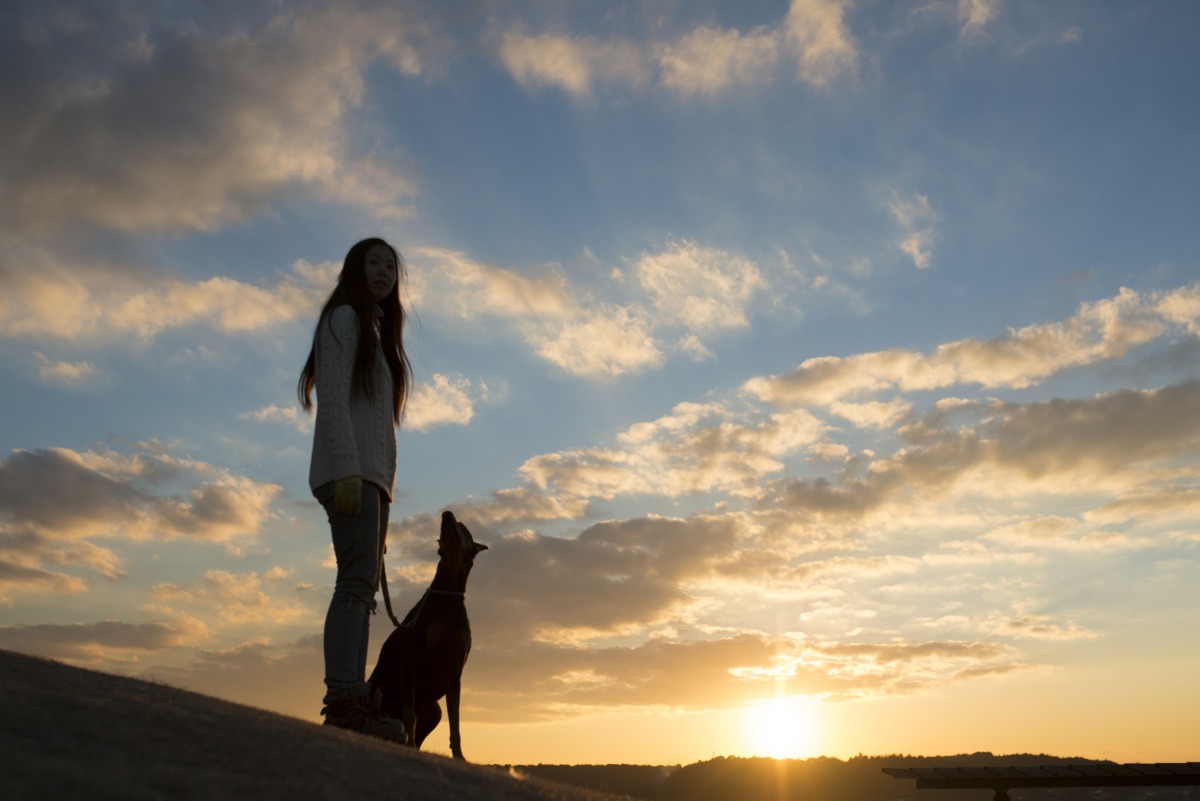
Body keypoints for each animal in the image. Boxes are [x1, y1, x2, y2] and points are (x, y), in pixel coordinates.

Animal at [369, 510, 492, 762]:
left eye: (462, 525)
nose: (446, 513)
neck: (449, 594)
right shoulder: (412, 657)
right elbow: (410, 715)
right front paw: (409, 745)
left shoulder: (456, 671)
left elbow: (455, 722)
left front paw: (459, 756)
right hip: (380, 688)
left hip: (434, 709)